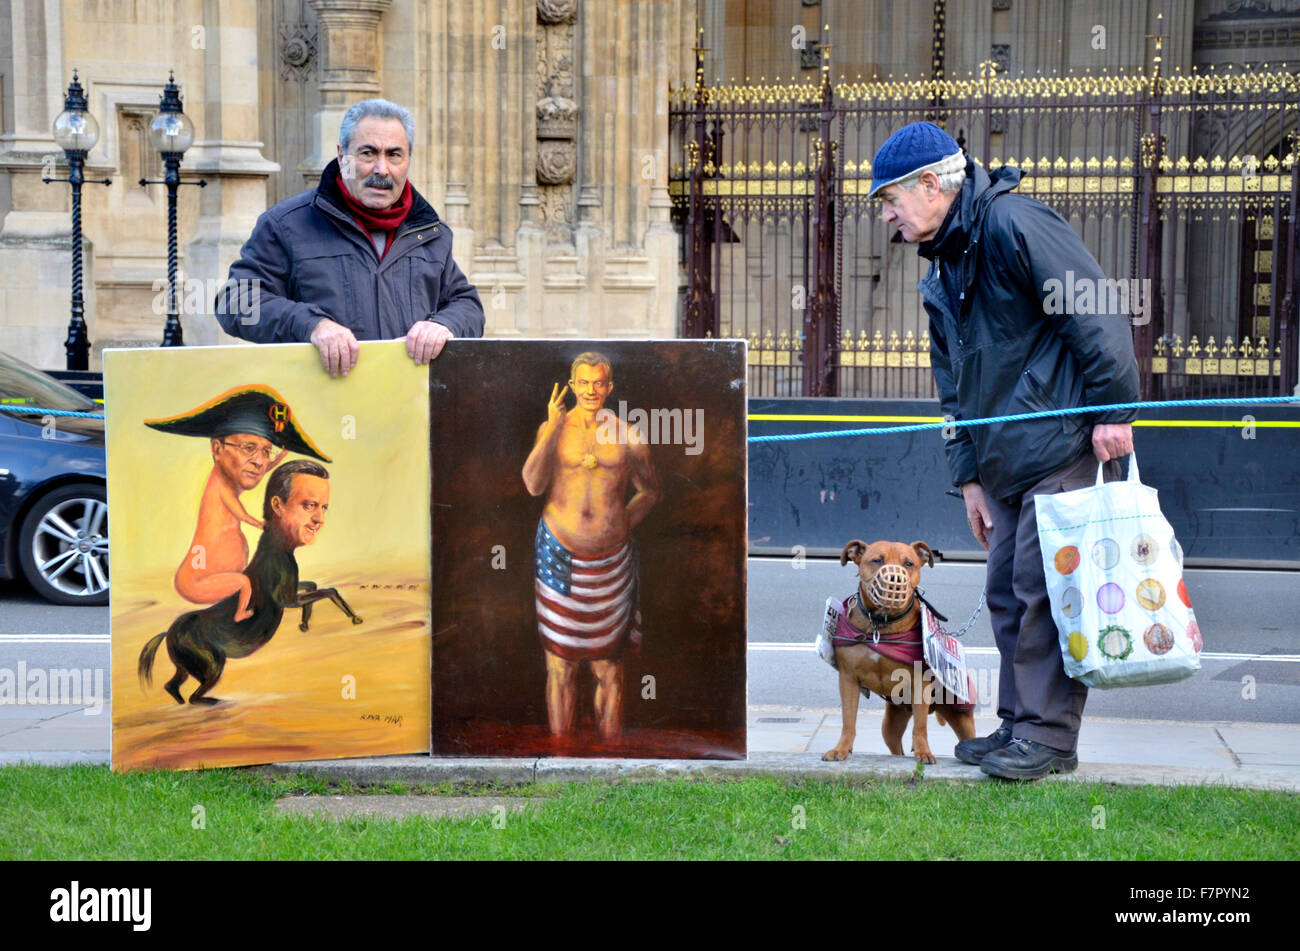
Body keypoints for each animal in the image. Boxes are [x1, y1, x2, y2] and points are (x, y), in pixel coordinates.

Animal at [821, 537, 977, 763]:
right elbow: (848, 721)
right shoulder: (848, 678)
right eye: (877, 560)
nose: (895, 578)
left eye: (909, 563)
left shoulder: (920, 683)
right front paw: (841, 748)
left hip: (961, 716)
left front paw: (924, 752)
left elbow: (920, 726)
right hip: (891, 723)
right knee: (896, 748)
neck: (881, 624)